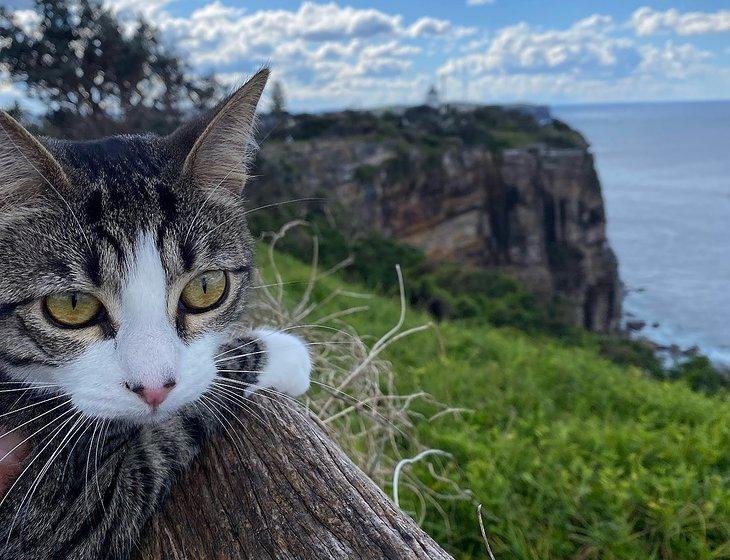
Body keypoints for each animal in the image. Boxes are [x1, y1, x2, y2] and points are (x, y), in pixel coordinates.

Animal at [0, 68, 310, 556]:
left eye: (206, 287)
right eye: (71, 306)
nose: (154, 389)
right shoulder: (54, 520)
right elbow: (171, 431)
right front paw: (285, 353)